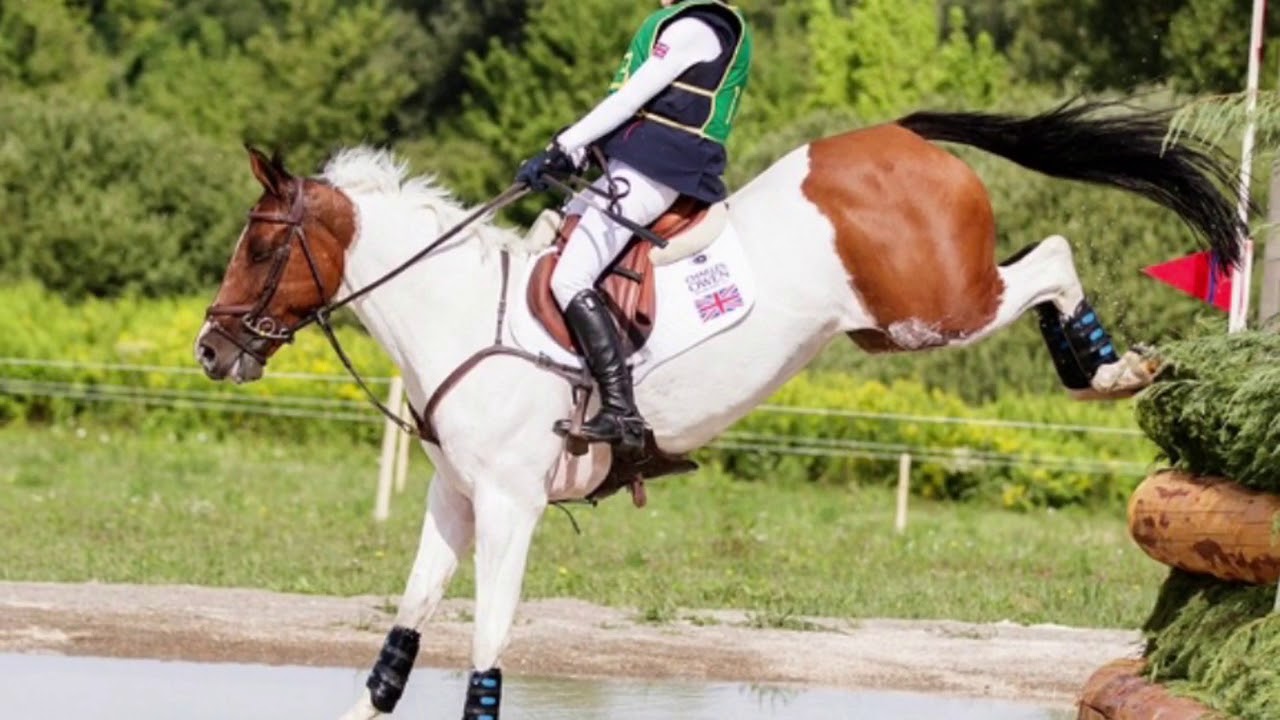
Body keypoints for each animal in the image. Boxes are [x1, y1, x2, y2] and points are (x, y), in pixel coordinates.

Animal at [193, 100, 1243, 719]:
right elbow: (398, 646)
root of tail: (897, 134)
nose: (210, 349)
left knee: (1053, 256)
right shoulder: (454, 499)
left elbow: (485, 656)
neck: (457, 315)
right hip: (892, 323)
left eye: (260, 245)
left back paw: (1108, 370)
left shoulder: (509, 508)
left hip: (933, 309)